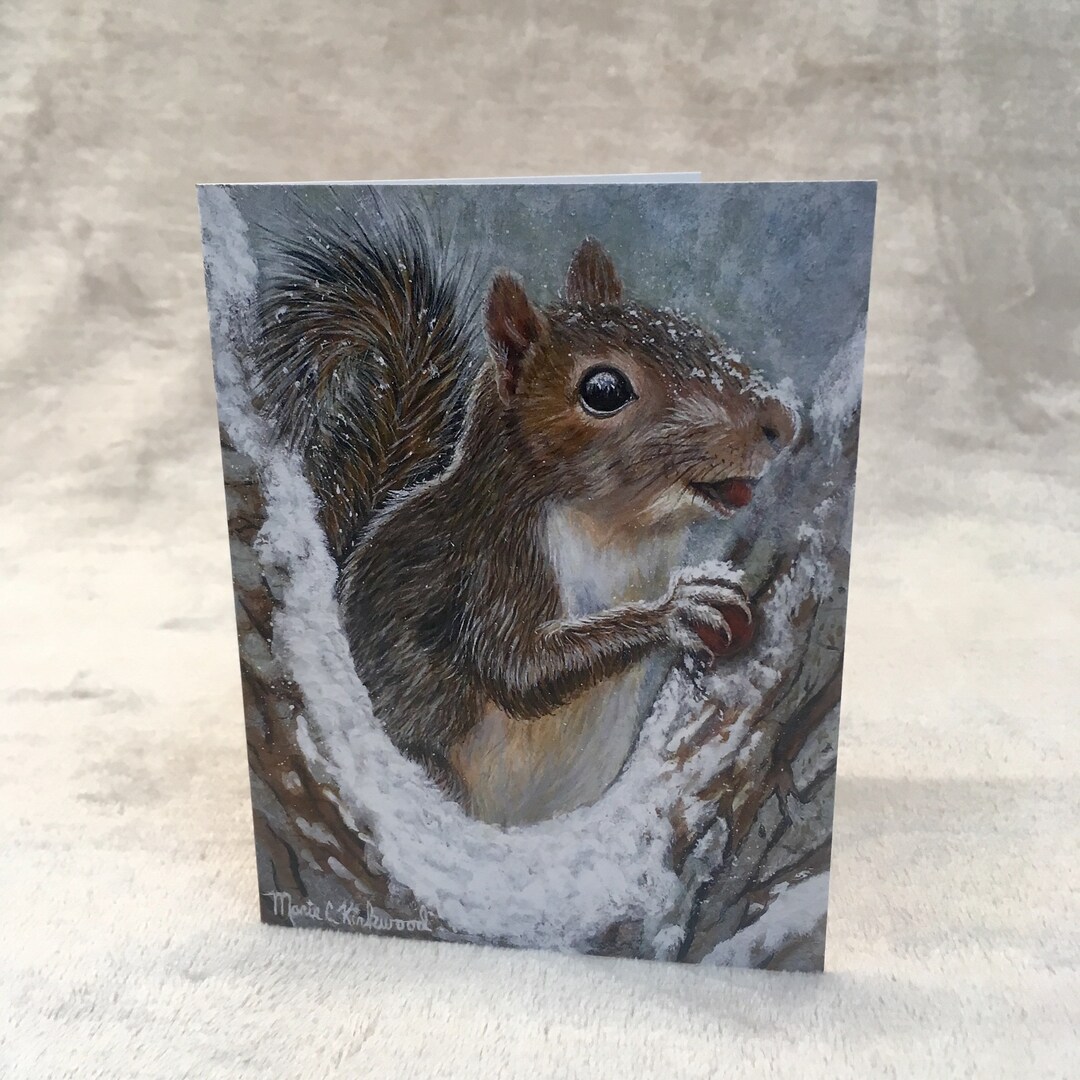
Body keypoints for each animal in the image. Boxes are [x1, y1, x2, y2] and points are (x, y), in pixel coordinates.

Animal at [251, 211, 798, 827]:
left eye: (697, 333)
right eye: (603, 390)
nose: (781, 420)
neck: (623, 537)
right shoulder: (489, 564)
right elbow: (517, 668)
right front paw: (678, 608)